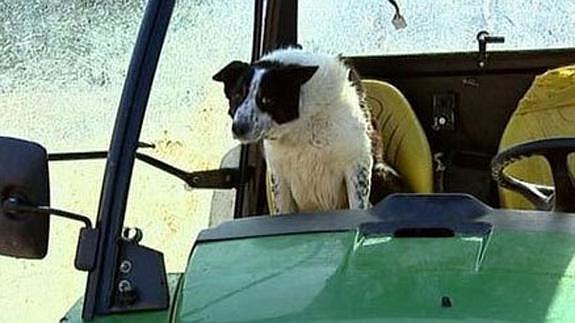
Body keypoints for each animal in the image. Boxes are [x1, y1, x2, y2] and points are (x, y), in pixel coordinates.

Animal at [214, 48, 402, 215]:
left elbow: (358, 207)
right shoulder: (279, 174)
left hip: (380, 171)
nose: (238, 129)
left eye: (267, 99)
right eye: (237, 95)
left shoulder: (358, 164)